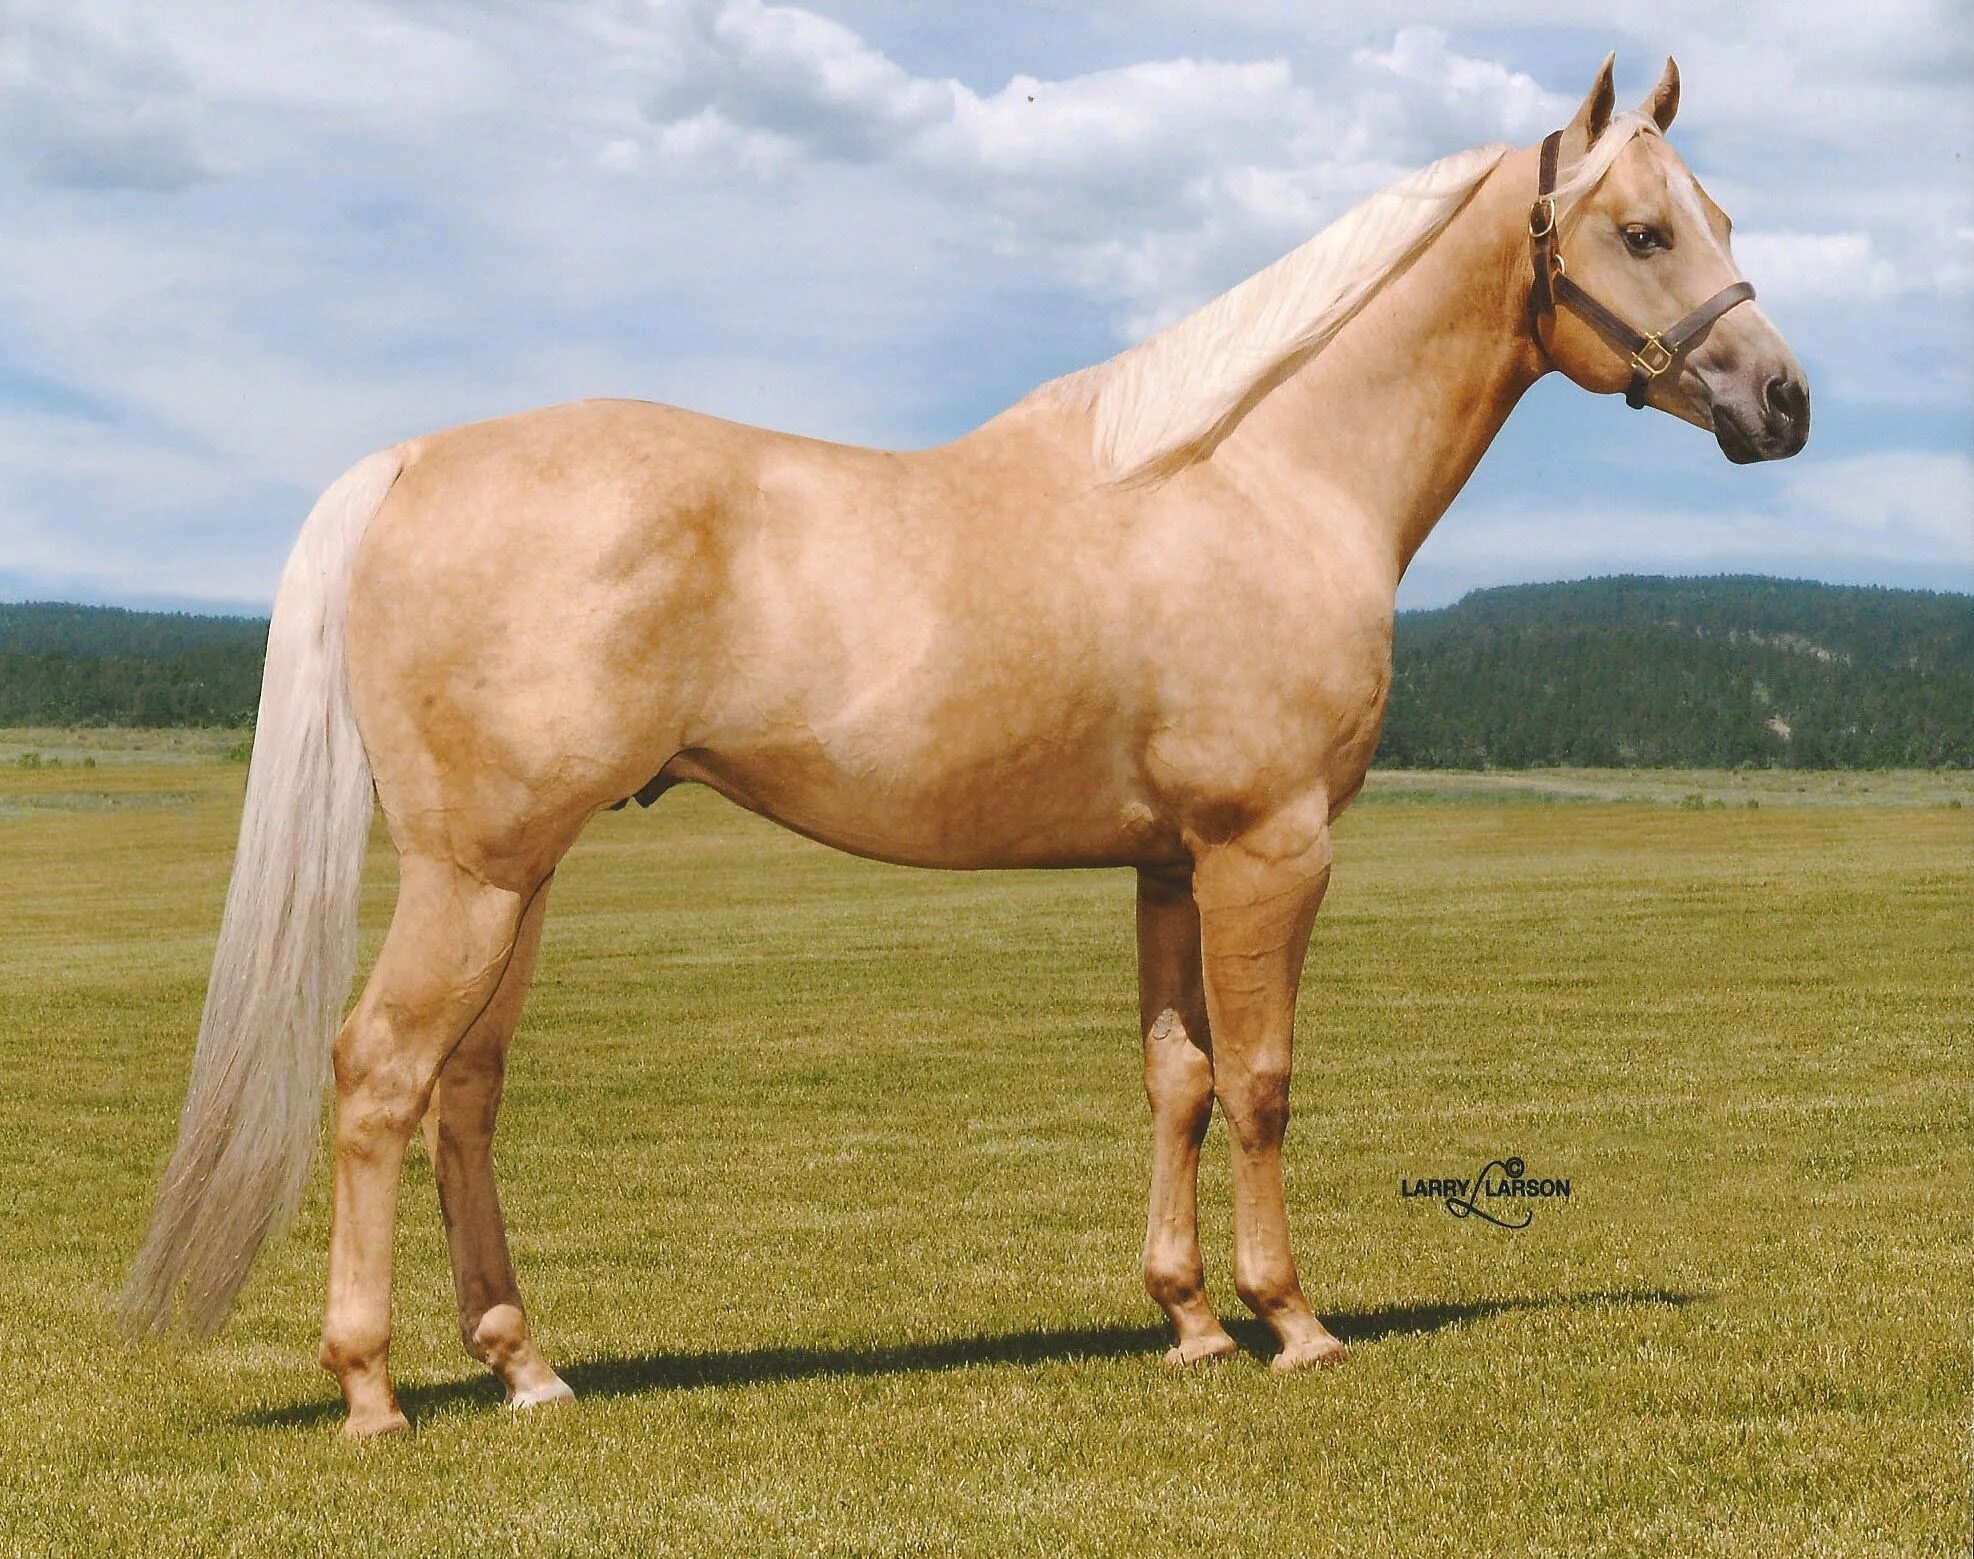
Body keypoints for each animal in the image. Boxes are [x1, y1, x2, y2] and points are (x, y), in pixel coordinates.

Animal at [131, 55, 1808, 1436]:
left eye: (1715, 211)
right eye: (1640, 232)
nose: (1782, 400)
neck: (1262, 474)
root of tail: (411, 460)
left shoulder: (1166, 863)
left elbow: (1175, 1076)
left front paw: (1188, 1318)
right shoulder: (1269, 845)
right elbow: (1262, 1078)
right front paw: (1290, 1319)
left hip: (517, 875)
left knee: (463, 1089)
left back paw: (526, 1365)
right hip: (472, 875)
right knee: (376, 1076)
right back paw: (369, 1389)